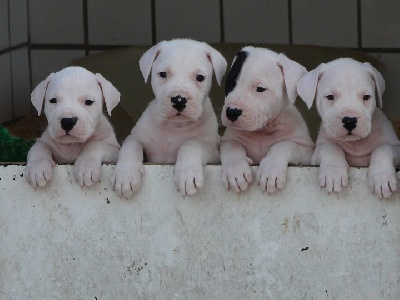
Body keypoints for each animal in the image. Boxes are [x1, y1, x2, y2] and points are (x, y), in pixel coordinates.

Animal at [220, 45, 314, 193]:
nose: (232, 112)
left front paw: (271, 170)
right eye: (229, 83)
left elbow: (283, 144)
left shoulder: (306, 151)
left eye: (260, 88)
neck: (263, 130)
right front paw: (235, 170)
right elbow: (233, 146)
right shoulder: (227, 140)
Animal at [296, 58, 400, 199]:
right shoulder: (317, 151)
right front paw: (333, 173)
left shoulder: (396, 147)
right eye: (330, 97)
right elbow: (331, 147)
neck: (355, 143)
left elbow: (383, 148)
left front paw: (382, 178)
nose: (350, 120)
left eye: (366, 97)